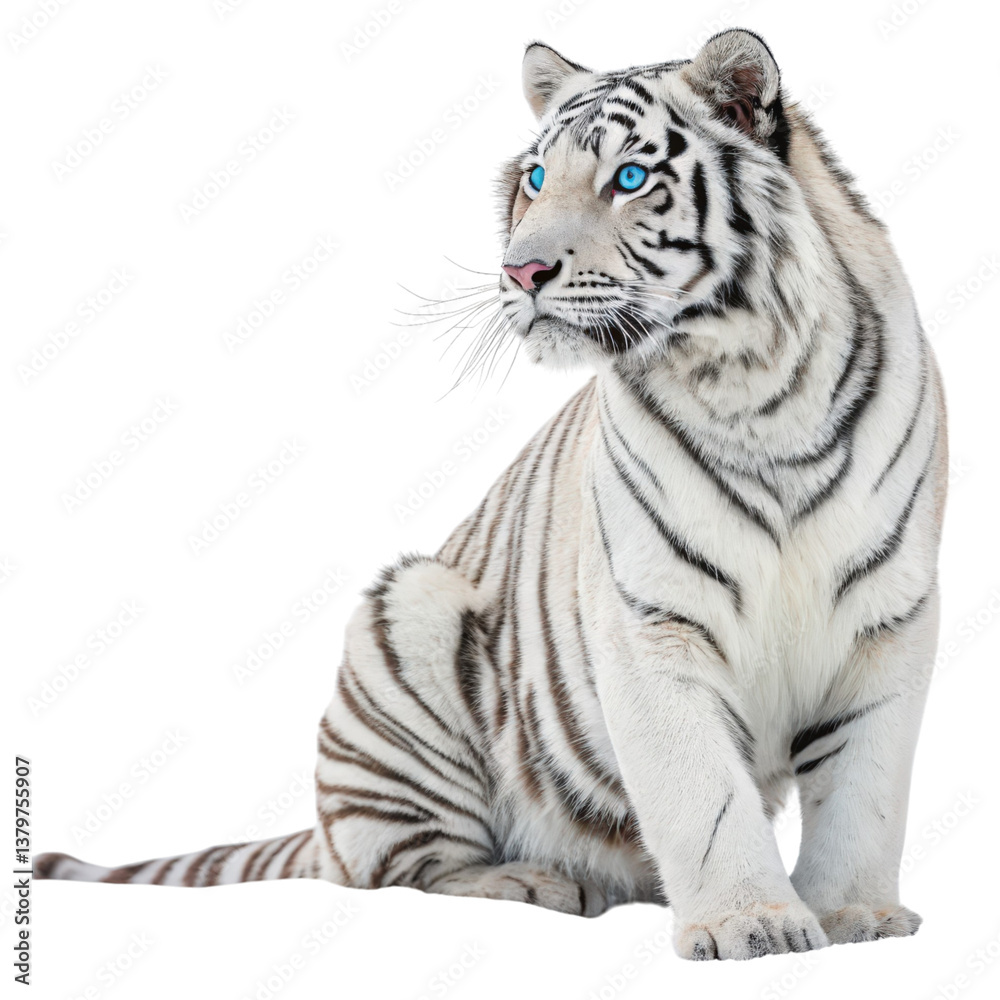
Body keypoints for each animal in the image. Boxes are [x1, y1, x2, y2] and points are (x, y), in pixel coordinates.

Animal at [36, 29, 947, 962]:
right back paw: (535, 881)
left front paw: (856, 916)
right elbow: (705, 796)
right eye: (536, 177)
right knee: (394, 866)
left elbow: (865, 789)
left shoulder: (891, 616)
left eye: (628, 178)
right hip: (408, 625)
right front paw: (749, 924)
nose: (522, 270)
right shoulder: (650, 622)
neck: (754, 387)